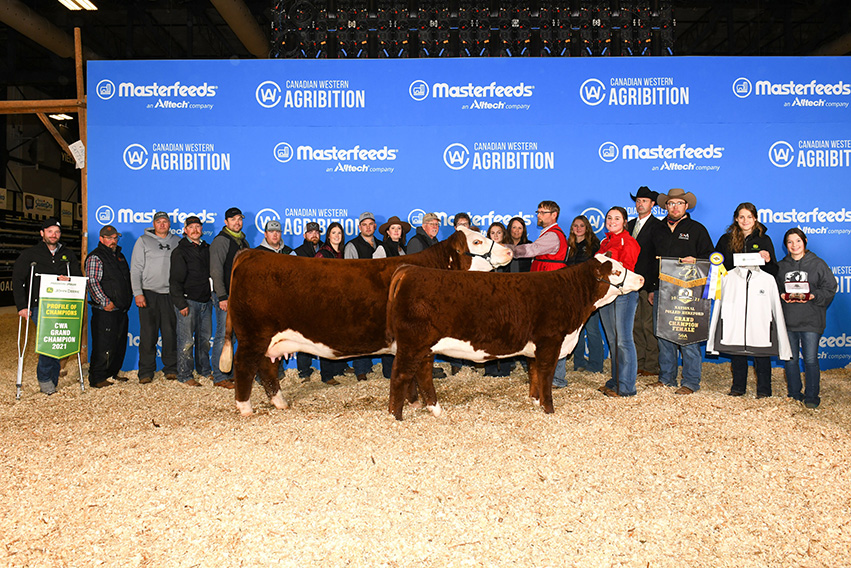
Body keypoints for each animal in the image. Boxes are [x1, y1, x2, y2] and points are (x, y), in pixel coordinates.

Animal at [221, 226, 512, 418]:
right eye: (477, 241)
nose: (509, 250)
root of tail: (251, 254)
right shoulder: (422, 340)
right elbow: (419, 374)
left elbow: (411, 377)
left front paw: (414, 403)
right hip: (252, 334)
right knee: (244, 364)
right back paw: (245, 408)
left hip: (270, 338)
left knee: (266, 367)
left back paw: (280, 403)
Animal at [388, 255, 644, 420]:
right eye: (617, 272)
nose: (641, 279)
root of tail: (409, 269)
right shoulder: (550, 342)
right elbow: (546, 375)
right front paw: (549, 409)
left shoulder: (535, 347)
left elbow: (534, 373)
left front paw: (535, 401)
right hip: (413, 343)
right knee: (400, 375)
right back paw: (395, 416)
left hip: (425, 347)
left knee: (422, 374)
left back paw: (435, 409)